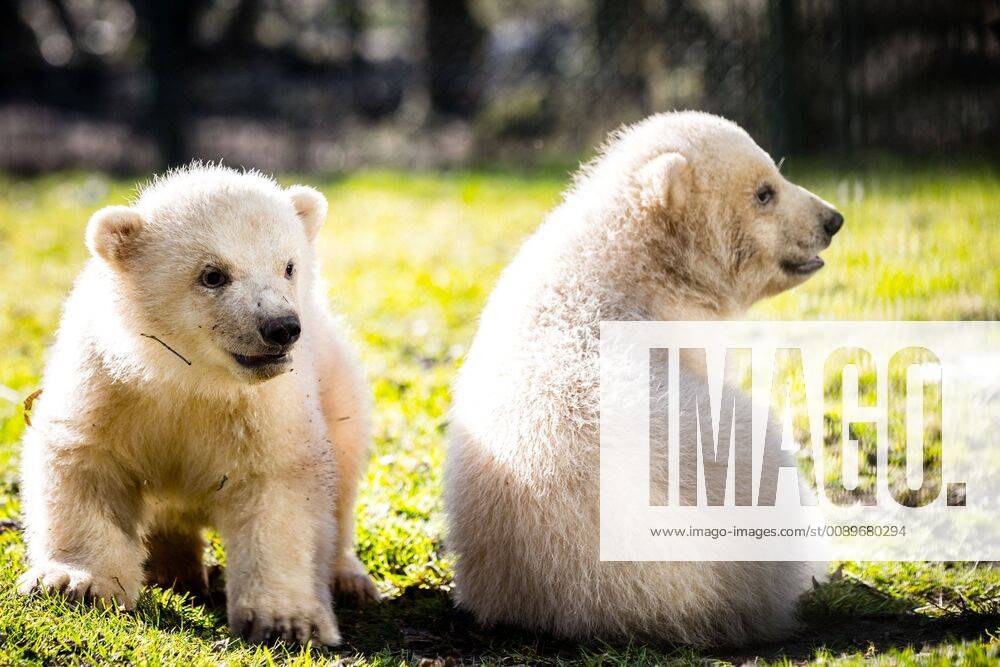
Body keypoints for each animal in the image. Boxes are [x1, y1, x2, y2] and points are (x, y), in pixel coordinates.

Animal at [17, 164, 377, 647]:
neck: (191, 379)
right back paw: (172, 569)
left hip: (338, 387)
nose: (281, 327)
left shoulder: (267, 410)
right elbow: (85, 463)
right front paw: (75, 583)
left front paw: (285, 621)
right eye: (213, 275)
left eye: (288, 266)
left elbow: (280, 489)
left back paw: (349, 579)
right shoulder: (106, 382)